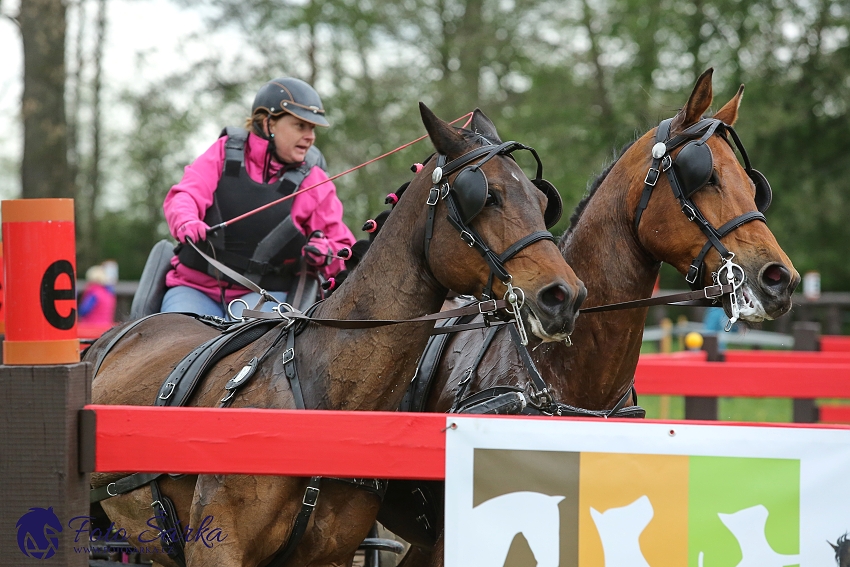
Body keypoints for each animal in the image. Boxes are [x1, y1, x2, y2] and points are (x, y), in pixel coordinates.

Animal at [84, 103, 584, 567]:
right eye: (488, 196)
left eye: (542, 202)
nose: (565, 295)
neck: (325, 401)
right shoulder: (217, 549)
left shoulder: (329, 555)